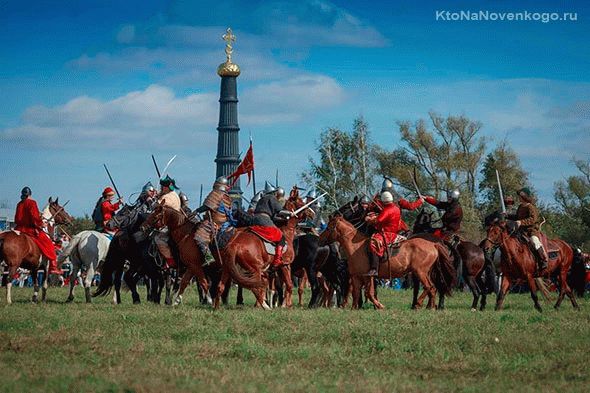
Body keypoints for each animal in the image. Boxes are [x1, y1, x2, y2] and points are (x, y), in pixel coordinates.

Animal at [320, 214, 458, 310]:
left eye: (328, 227)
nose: (320, 239)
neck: (355, 247)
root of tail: (434, 244)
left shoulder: (368, 276)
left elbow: (369, 293)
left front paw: (379, 306)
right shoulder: (356, 277)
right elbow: (356, 292)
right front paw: (354, 308)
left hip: (420, 272)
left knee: (430, 287)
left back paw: (419, 304)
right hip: (425, 273)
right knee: (432, 288)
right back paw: (431, 306)